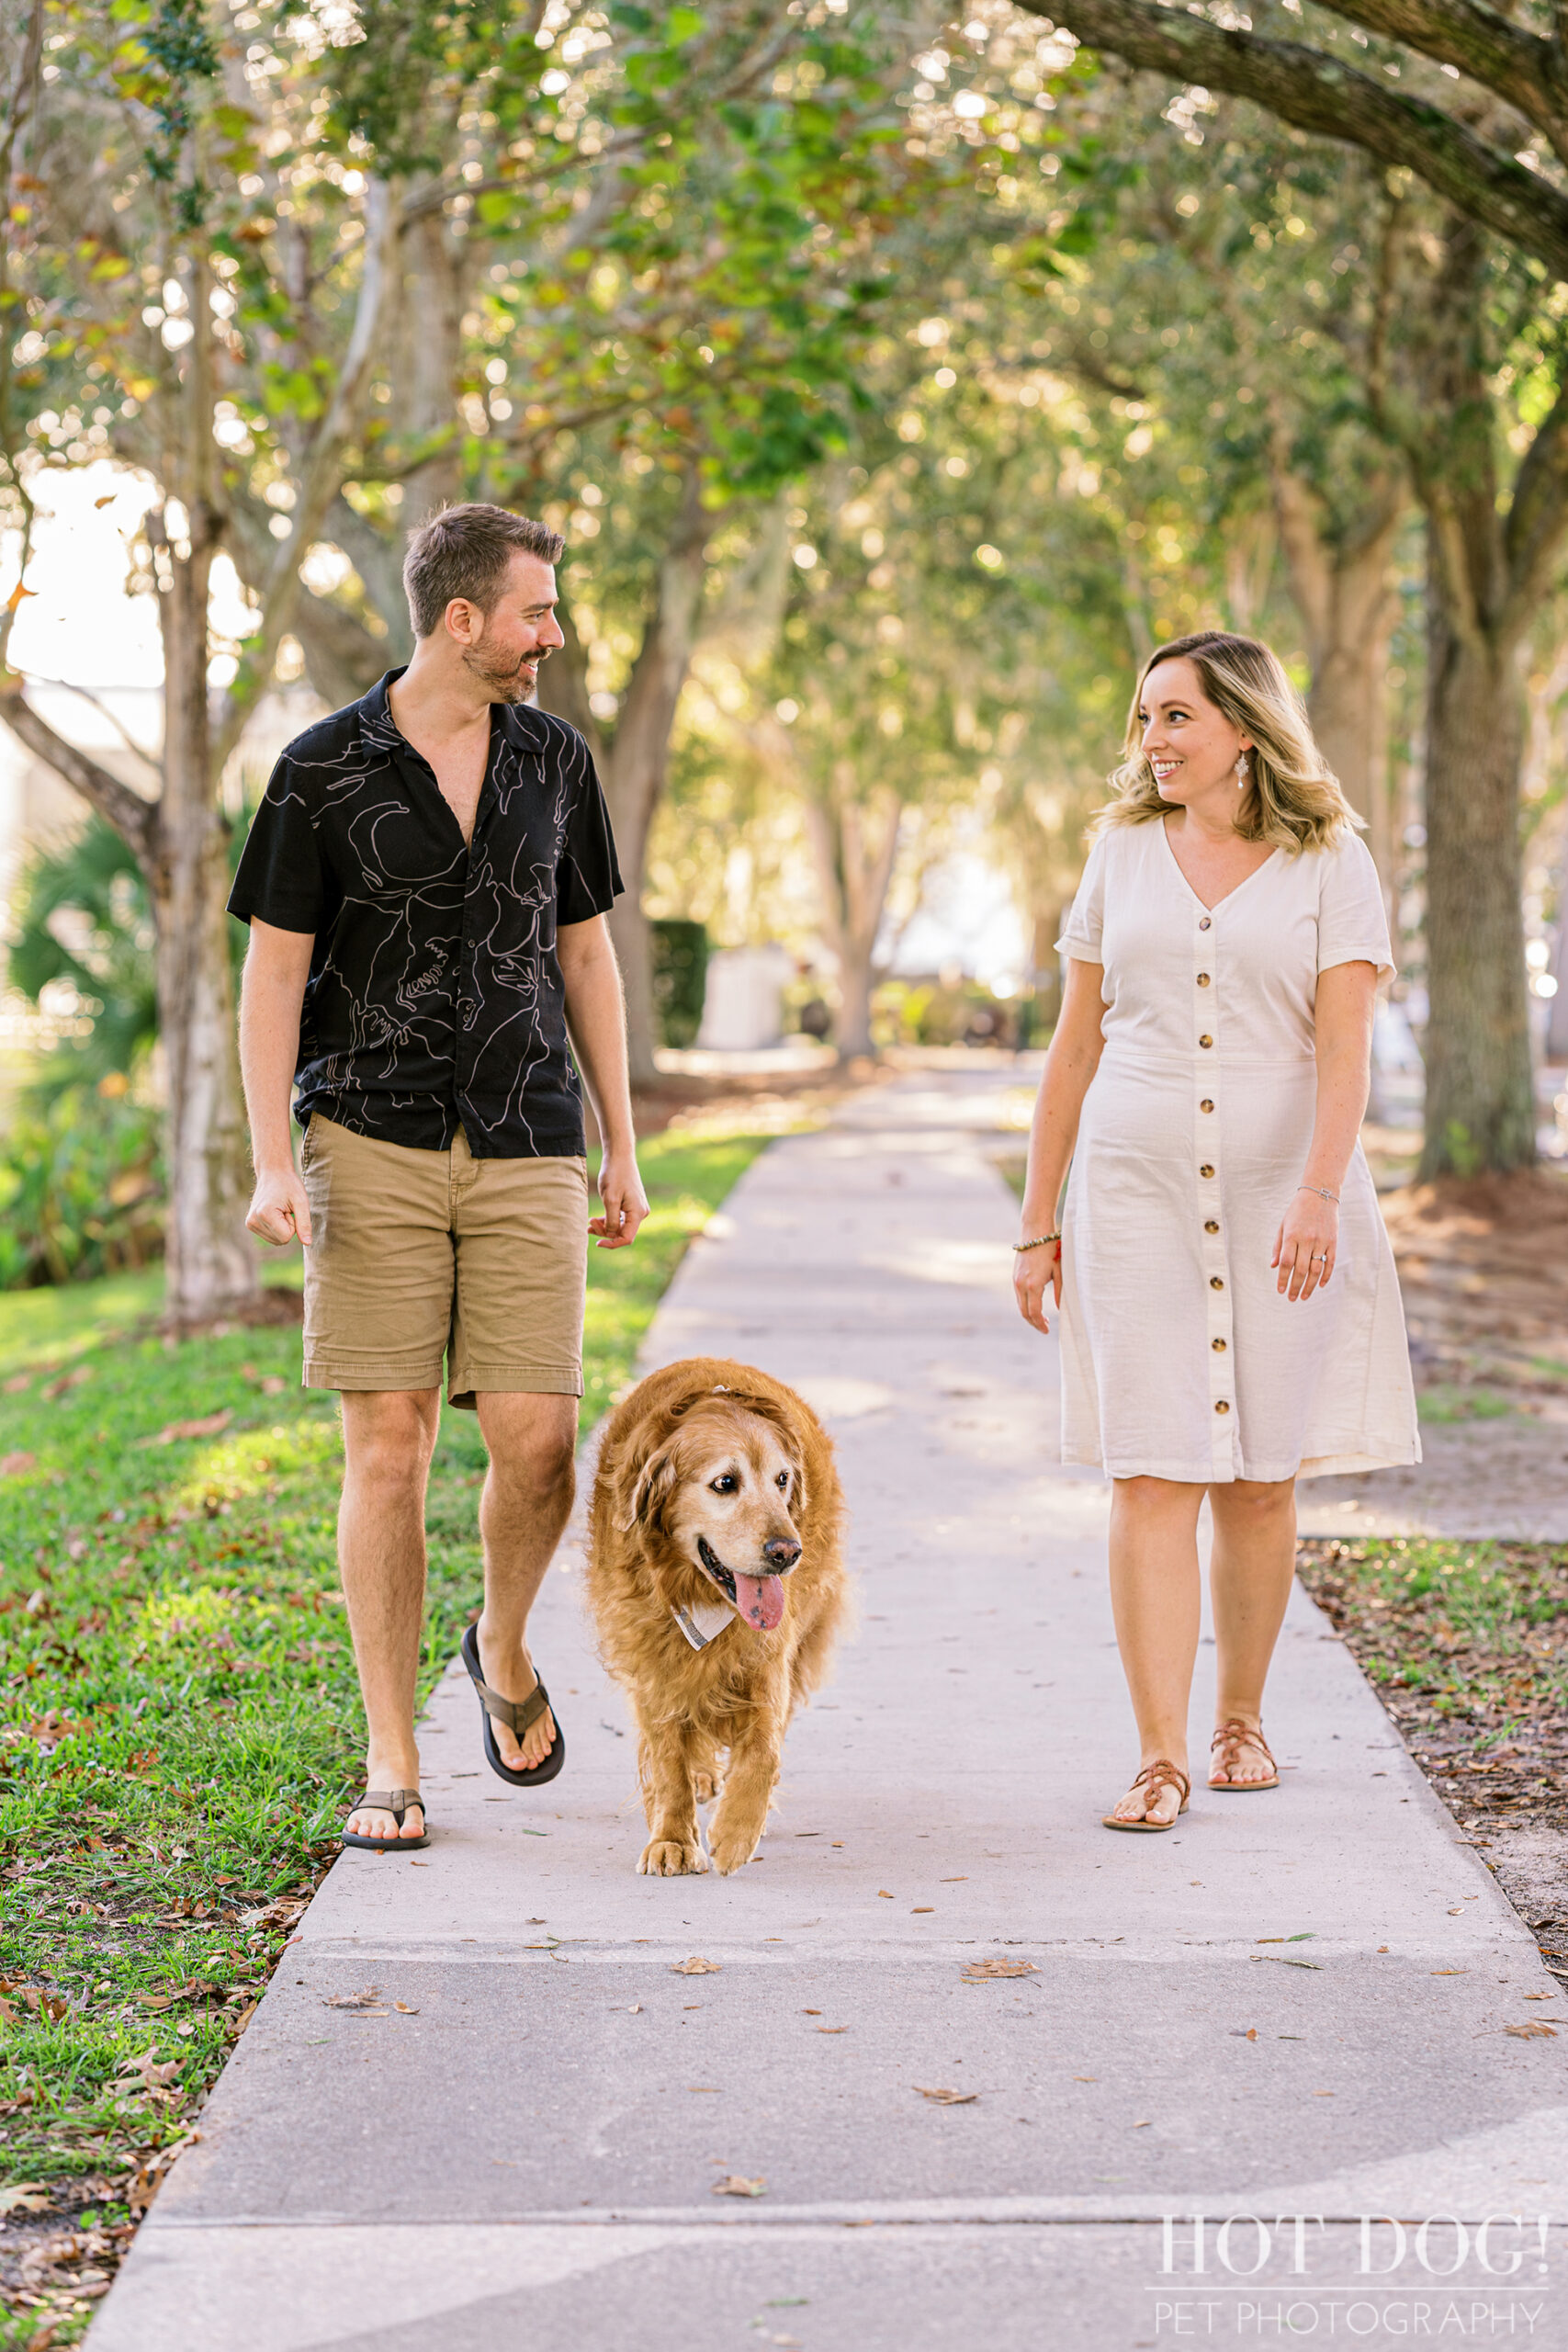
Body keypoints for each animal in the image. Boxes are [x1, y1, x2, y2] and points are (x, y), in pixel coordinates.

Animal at [582, 1363, 846, 1871]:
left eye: (782, 1479)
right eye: (725, 1483)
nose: (788, 1553)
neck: (695, 1590)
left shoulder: (767, 1655)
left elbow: (763, 1746)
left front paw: (738, 1829)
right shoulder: (651, 1661)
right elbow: (668, 1758)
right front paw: (672, 1838)